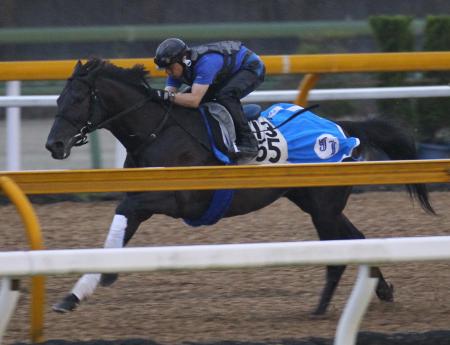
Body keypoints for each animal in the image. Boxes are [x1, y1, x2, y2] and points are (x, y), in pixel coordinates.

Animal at [46, 58, 436, 314]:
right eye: (58, 99)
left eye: (78, 99)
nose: (54, 145)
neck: (159, 130)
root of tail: (343, 129)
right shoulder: (141, 198)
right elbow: (118, 228)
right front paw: (73, 296)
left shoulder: (178, 200)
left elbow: (123, 212)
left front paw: (107, 275)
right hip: (314, 203)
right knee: (358, 240)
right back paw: (382, 290)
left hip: (323, 208)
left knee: (339, 252)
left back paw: (321, 309)